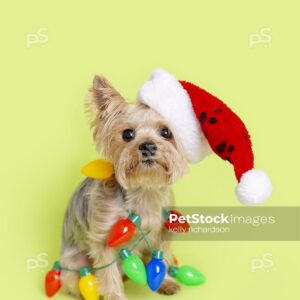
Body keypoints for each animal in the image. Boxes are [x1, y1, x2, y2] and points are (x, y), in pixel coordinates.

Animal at [59, 75, 188, 300]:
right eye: (127, 134)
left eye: (166, 132)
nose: (147, 146)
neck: (144, 189)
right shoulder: (104, 238)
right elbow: (108, 272)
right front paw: (114, 296)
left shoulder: (162, 230)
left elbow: (161, 256)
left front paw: (165, 281)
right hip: (75, 263)